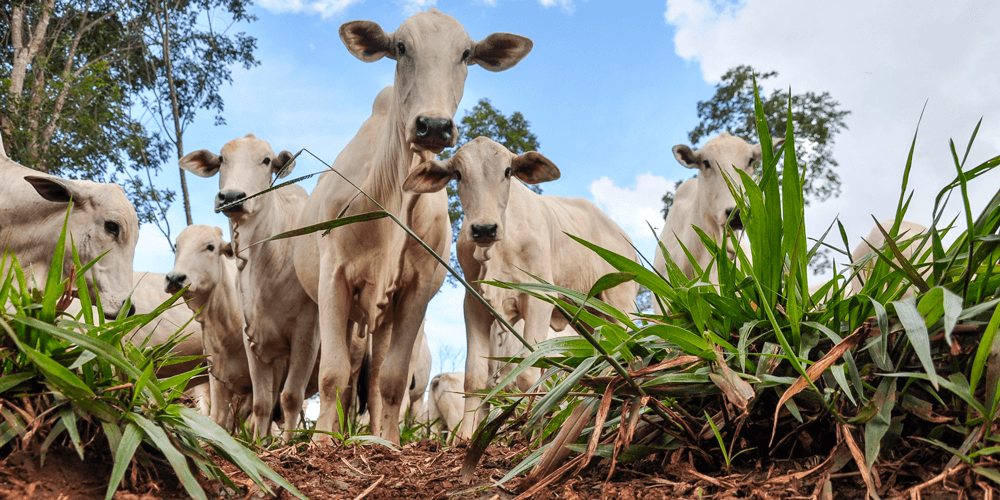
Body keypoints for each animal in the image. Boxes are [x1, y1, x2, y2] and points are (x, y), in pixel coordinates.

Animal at [181, 135, 320, 440]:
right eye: (222, 159)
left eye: (267, 160)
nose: (232, 196)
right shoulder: (253, 338)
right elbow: (262, 403)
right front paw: (259, 443)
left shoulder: (307, 333)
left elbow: (291, 397)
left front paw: (288, 445)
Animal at [292, 8, 536, 446]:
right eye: (401, 47)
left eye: (466, 53)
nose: (434, 126)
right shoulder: (334, 277)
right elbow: (333, 373)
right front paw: (321, 443)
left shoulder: (418, 289)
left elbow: (391, 379)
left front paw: (388, 442)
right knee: (345, 374)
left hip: (383, 317)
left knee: (373, 380)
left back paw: (372, 433)